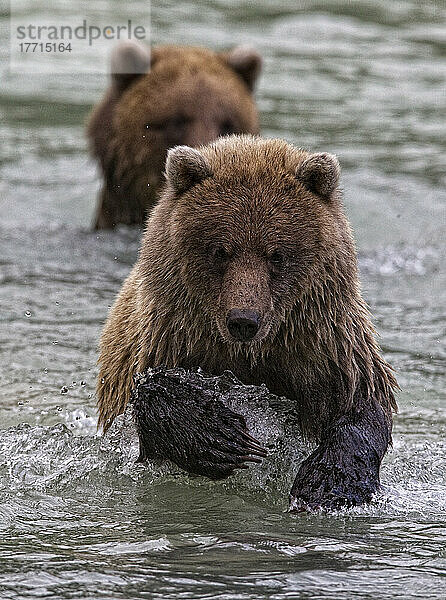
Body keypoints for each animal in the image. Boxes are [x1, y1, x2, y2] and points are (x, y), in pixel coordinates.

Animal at [96, 136, 398, 510]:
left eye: (277, 254)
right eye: (220, 251)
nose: (244, 321)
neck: (251, 353)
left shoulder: (323, 340)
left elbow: (361, 397)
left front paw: (329, 481)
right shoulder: (173, 334)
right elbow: (152, 388)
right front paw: (222, 437)